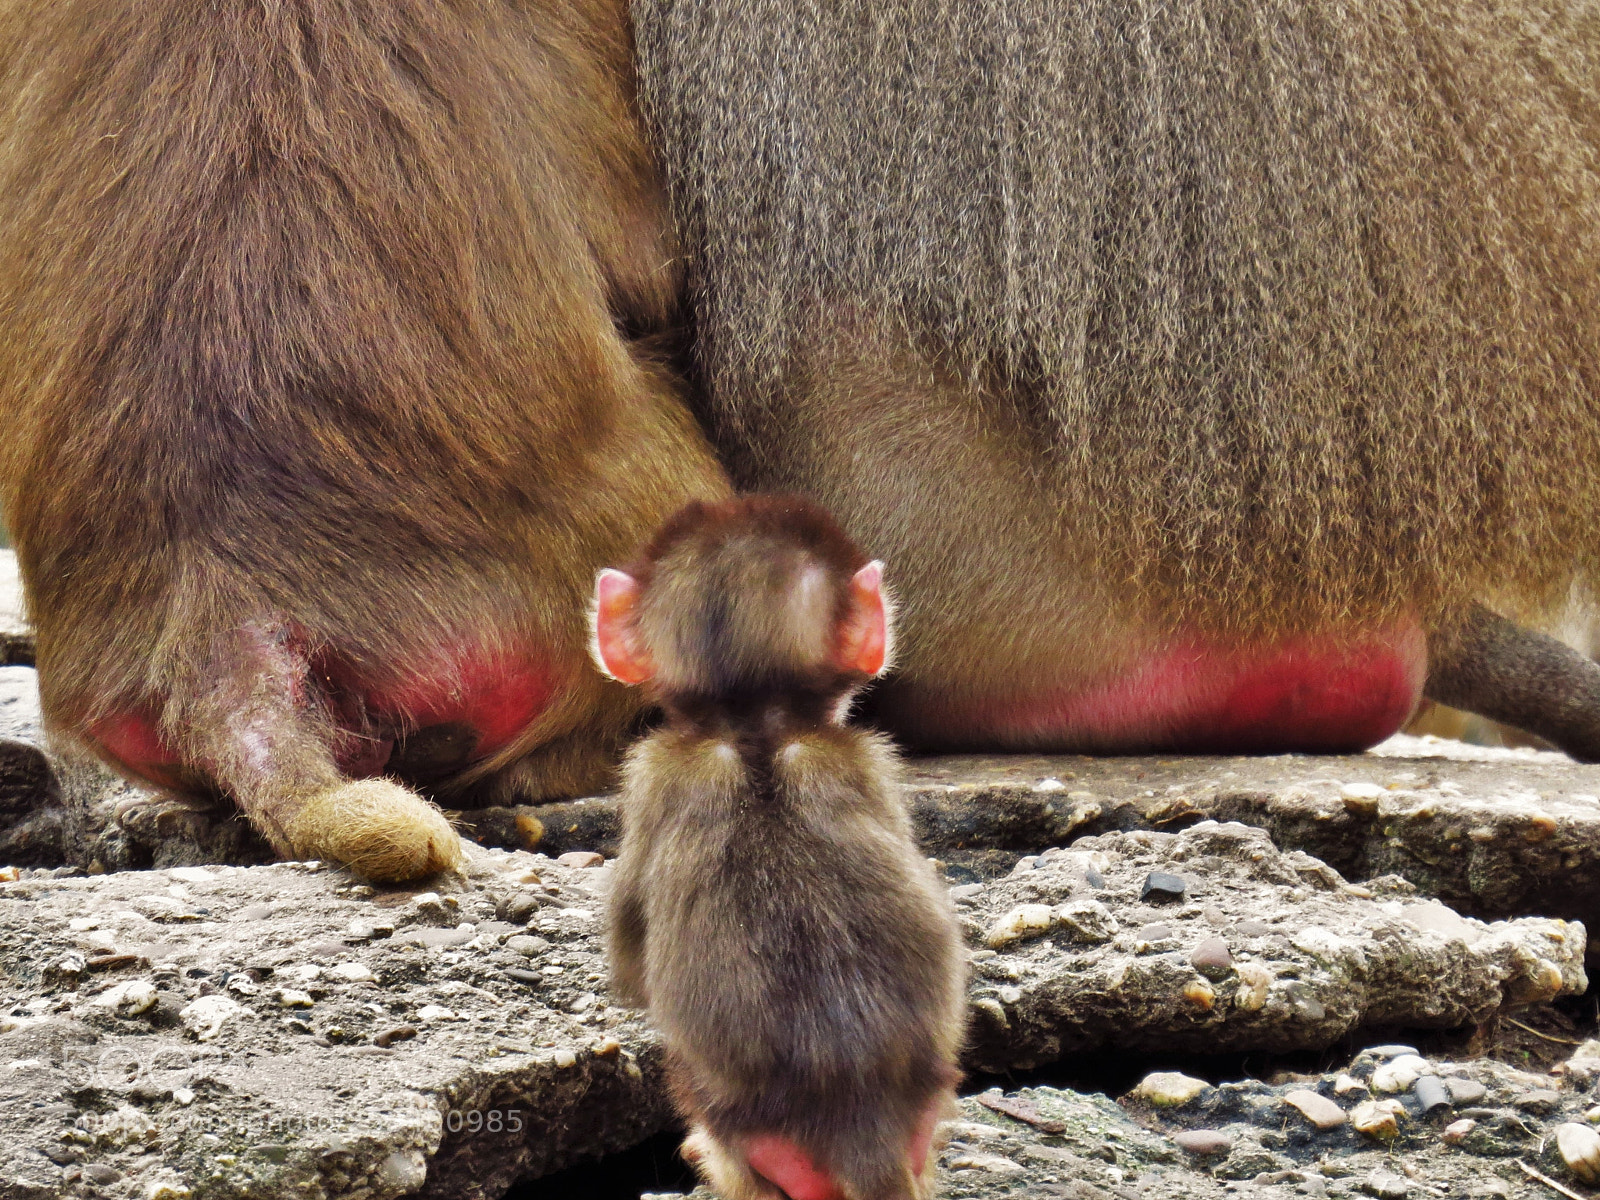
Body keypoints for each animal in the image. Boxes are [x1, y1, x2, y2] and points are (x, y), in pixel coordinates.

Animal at [594, 495, 966, 1200]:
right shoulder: (871, 763)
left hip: (743, 1134)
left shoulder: (646, 773)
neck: (753, 720)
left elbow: (629, 964)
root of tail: (859, 1122)